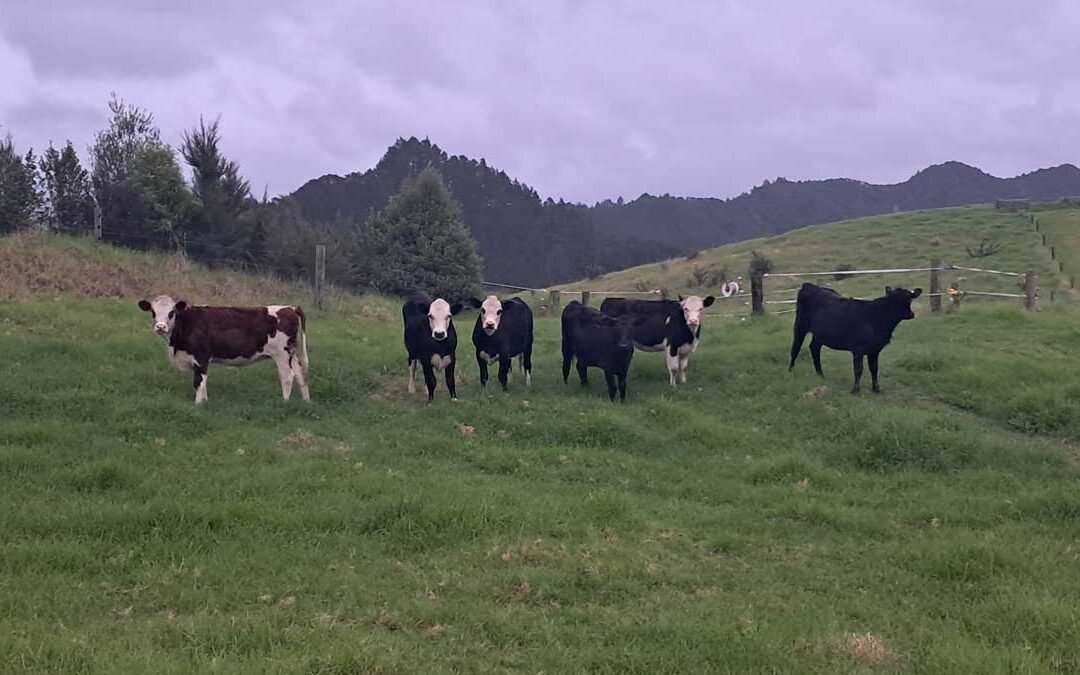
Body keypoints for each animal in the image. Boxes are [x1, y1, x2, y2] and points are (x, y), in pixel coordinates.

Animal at [137, 295, 309, 404]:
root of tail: (290, 307)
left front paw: (198, 405)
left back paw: (285, 402)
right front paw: (205, 402)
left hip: (282, 354)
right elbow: (203, 382)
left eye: (171, 312)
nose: (160, 326)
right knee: (300, 374)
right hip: (292, 353)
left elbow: (199, 381)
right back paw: (306, 401)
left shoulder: (201, 357)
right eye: (153, 312)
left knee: (287, 376)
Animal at [788, 283, 922, 394]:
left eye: (909, 298)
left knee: (814, 348)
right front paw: (855, 389)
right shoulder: (858, 348)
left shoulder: (875, 349)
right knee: (795, 348)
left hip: (819, 334)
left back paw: (820, 375)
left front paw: (876, 388)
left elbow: (874, 369)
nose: (911, 314)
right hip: (800, 325)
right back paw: (790, 371)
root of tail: (810, 285)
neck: (876, 318)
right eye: (894, 301)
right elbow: (858, 369)